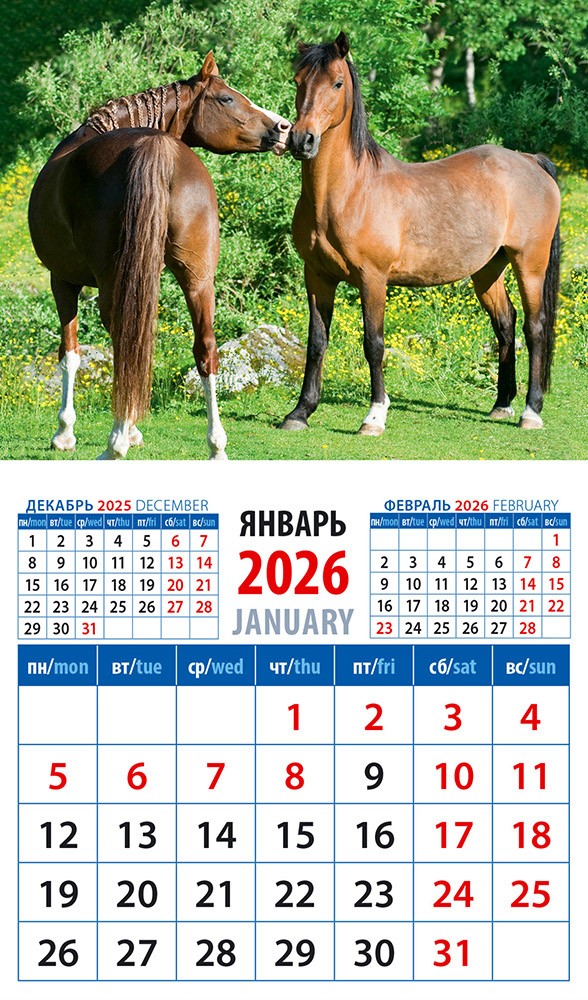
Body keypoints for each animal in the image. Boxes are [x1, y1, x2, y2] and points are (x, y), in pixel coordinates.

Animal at [28, 52, 290, 459]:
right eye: (227, 98)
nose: (284, 127)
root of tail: (157, 149)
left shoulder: (63, 279)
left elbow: (69, 353)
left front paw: (65, 432)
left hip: (113, 282)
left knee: (125, 343)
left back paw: (115, 443)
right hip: (198, 278)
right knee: (205, 349)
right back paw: (215, 445)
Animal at [281, 32, 561, 439]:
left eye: (336, 83)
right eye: (298, 81)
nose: (302, 140)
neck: (349, 191)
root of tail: (530, 160)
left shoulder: (372, 278)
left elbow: (374, 343)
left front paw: (374, 417)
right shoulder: (317, 276)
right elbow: (317, 342)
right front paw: (300, 412)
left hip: (530, 264)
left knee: (535, 327)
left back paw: (531, 411)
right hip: (488, 270)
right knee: (505, 323)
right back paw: (501, 404)